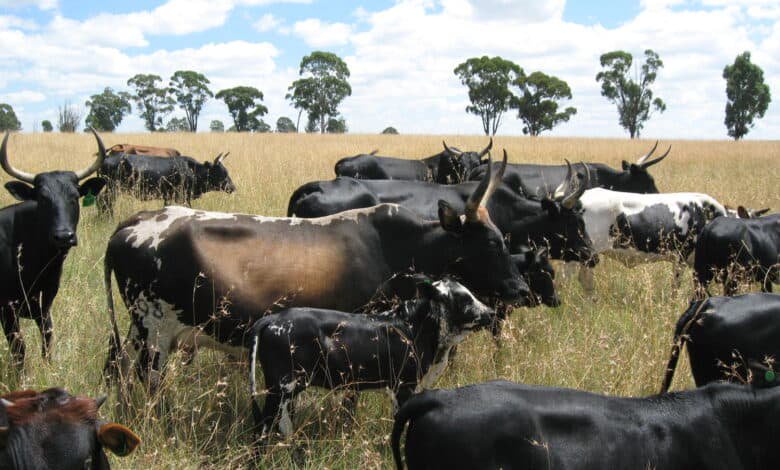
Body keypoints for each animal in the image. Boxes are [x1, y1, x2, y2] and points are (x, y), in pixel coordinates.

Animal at [0, 130, 106, 368]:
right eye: (42, 198)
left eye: (74, 197)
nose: (64, 236)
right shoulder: (6, 309)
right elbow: (19, 350)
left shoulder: (45, 305)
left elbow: (47, 343)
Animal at [96, 152, 236, 214]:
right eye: (221, 172)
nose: (233, 187)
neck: (192, 169)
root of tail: (106, 158)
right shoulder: (183, 197)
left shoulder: (168, 197)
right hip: (112, 188)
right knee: (104, 201)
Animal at [248, 276, 494, 441]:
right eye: (465, 299)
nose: (491, 312)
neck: (413, 328)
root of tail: (272, 319)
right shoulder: (403, 385)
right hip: (279, 388)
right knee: (263, 428)